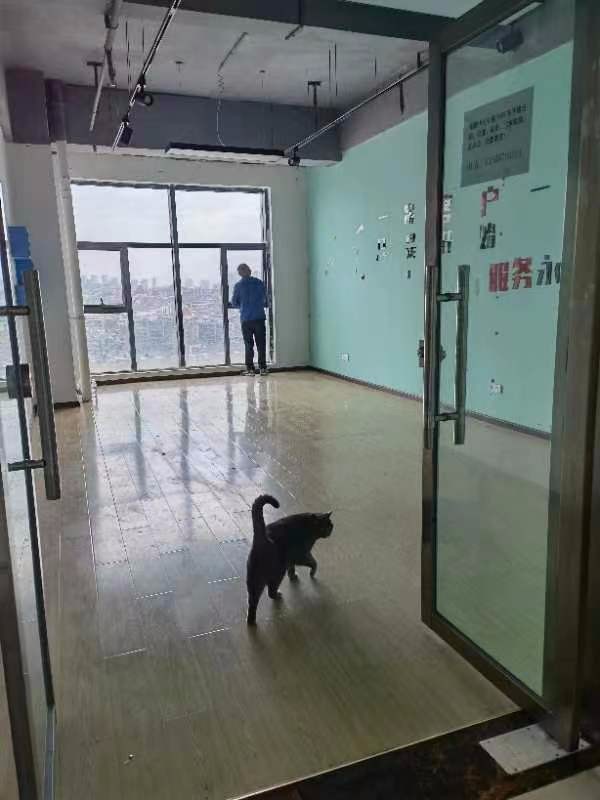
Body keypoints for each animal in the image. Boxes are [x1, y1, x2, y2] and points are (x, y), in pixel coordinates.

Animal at [246, 494, 333, 626]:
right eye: (325, 526)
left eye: (330, 525)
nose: (330, 530)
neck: (309, 526)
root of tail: (262, 536)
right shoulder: (302, 554)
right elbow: (314, 562)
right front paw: (312, 573)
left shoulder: (291, 558)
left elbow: (291, 567)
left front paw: (293, 575)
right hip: (277, 572)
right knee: (270, 591)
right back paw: (277, 595)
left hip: (255, 576)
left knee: (253, 599)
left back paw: (251, 620)